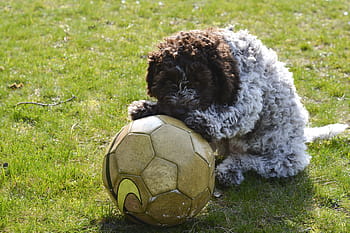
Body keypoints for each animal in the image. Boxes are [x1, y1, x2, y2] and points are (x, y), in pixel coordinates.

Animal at [128, 27, 348, 186]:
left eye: (199, 81)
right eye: (166, 80)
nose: (179, 111)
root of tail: (303, 137)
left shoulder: (249, 99)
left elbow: (232, 116)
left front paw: (201, 121)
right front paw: (146, 107)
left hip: (283, 157)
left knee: (253, 161)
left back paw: (230, 170)